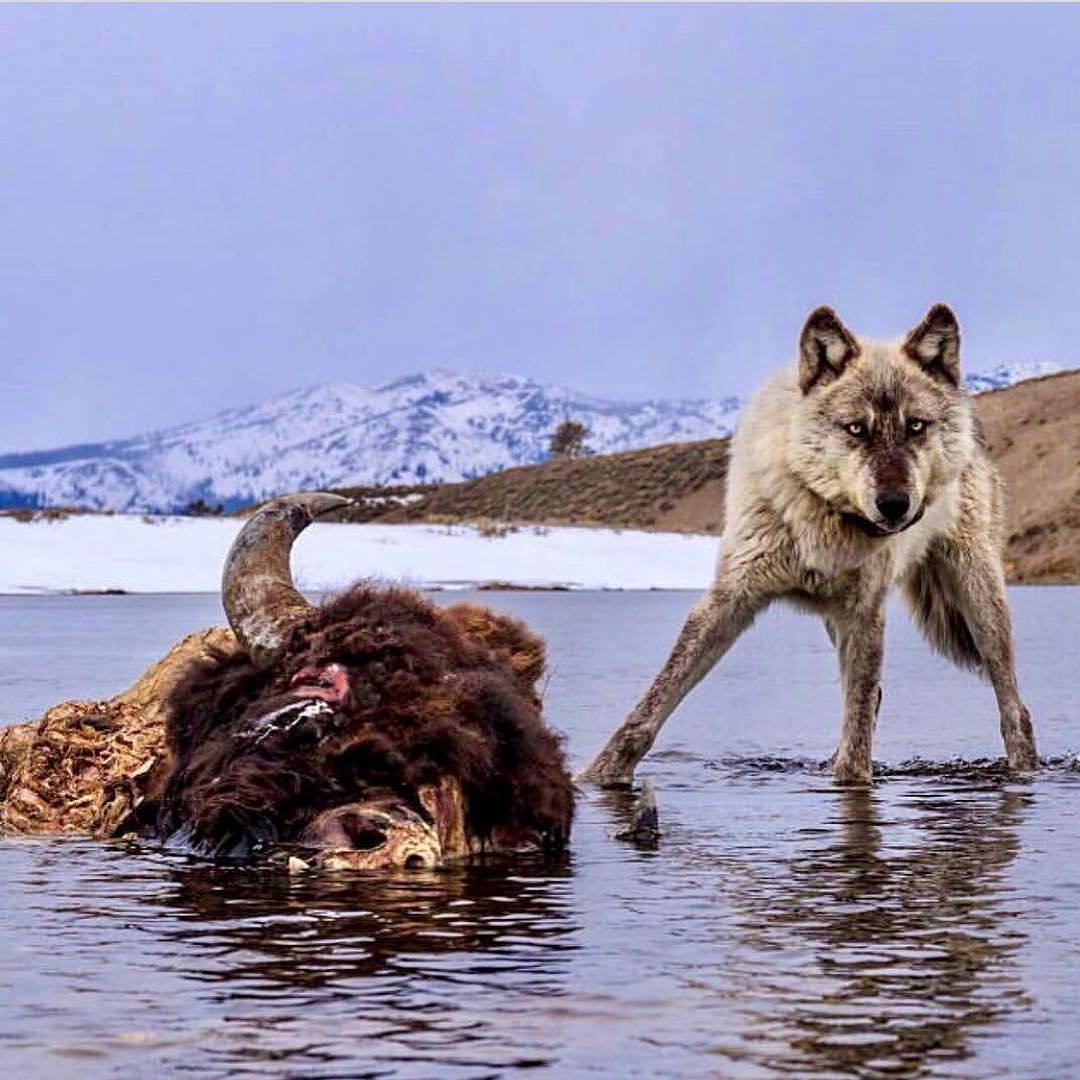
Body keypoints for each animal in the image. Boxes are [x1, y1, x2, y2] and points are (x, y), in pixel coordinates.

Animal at [583, 304, 1036, 786]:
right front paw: (597, 775)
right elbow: (654, 702)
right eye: (856, 428)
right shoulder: (731, 598)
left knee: (1013, 707)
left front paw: (852, 781)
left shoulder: (865, 613)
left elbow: (857, 741)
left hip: (978, 599)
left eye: (916, 426)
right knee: (874, 699)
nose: (894, 505)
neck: (826, 522)